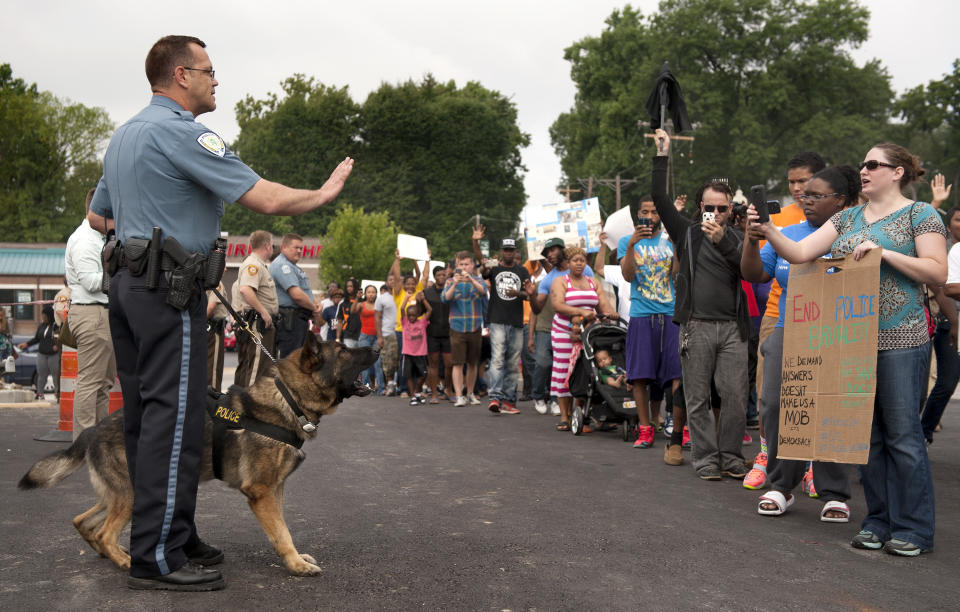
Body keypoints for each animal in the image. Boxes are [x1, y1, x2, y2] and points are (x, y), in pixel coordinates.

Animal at [18, 338, 378, 576]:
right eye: (344, 352)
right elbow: (281, 532)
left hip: (118, 493)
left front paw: (296, 558)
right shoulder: (261, 493)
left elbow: (283, 527)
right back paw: (126, 561)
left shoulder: (276, 489)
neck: (288, 398)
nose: (375, 348)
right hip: (131, 494)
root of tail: (93, 429)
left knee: (84, 522)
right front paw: (295, 564)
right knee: (104, 532)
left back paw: (115, 552)